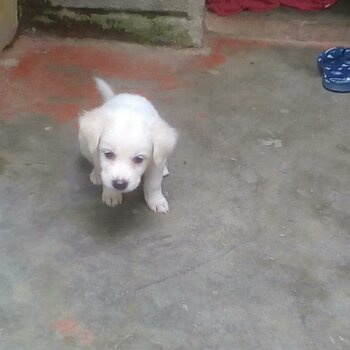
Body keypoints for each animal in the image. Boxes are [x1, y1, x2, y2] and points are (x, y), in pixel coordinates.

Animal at [79, 77, 178, 212]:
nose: (119, 184)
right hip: (84, 144)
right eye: (108, 154)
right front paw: (111, 194)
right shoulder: (97, 153)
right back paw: (96, 175)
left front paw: (157, 200)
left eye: (139, 159)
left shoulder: (155, 162)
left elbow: (154, 183)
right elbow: (102, 170)